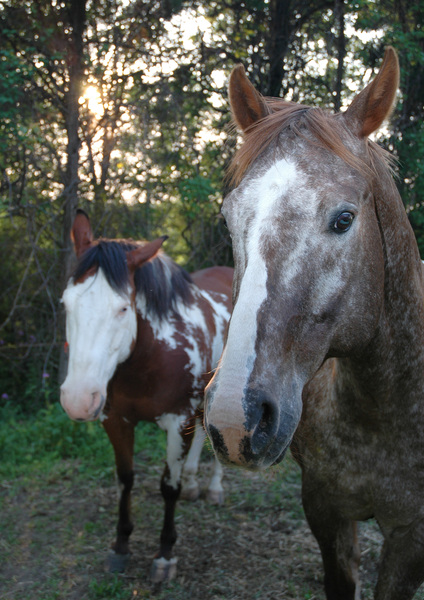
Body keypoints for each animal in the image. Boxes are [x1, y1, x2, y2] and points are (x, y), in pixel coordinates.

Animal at [60, 211, 232, 580]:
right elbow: (126, 479)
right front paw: (121, 545)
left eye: (123, 309)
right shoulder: (116, 420)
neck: (150, 357)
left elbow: (168, 486)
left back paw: (214, 488)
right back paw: (195, 483)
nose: (78, 399)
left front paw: (164, 554)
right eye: (67, 303)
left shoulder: (177, 423)